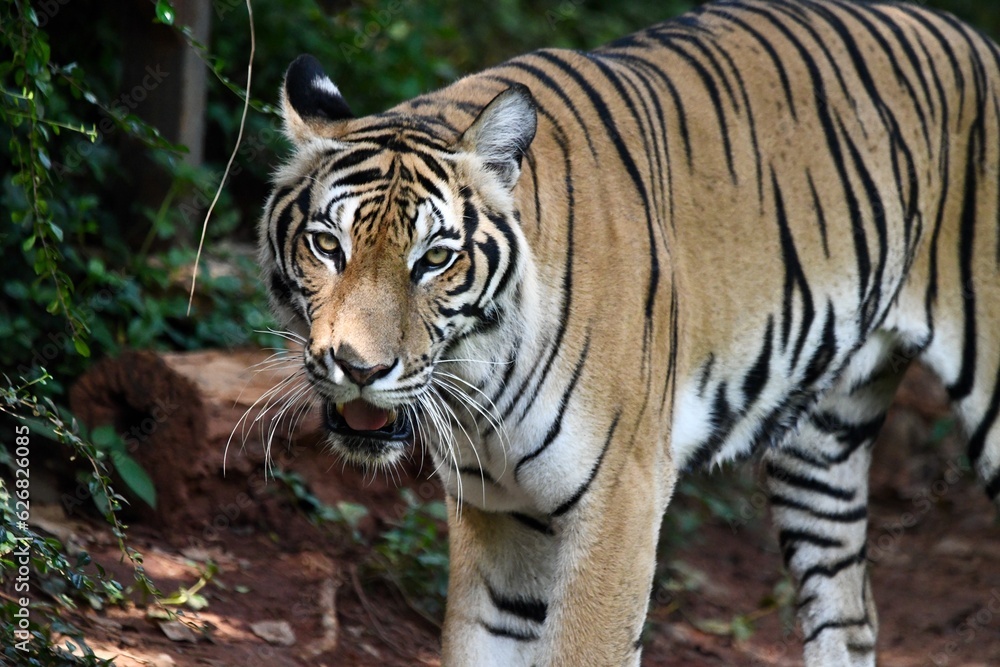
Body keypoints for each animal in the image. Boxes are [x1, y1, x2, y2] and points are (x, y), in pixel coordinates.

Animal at [260, 1, 1000, 664]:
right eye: (327, 246)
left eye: (435, 259)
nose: (359, 368)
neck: (481, 392)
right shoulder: (501, 518)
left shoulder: (620, 501)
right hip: (822, 442)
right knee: (850, 614)